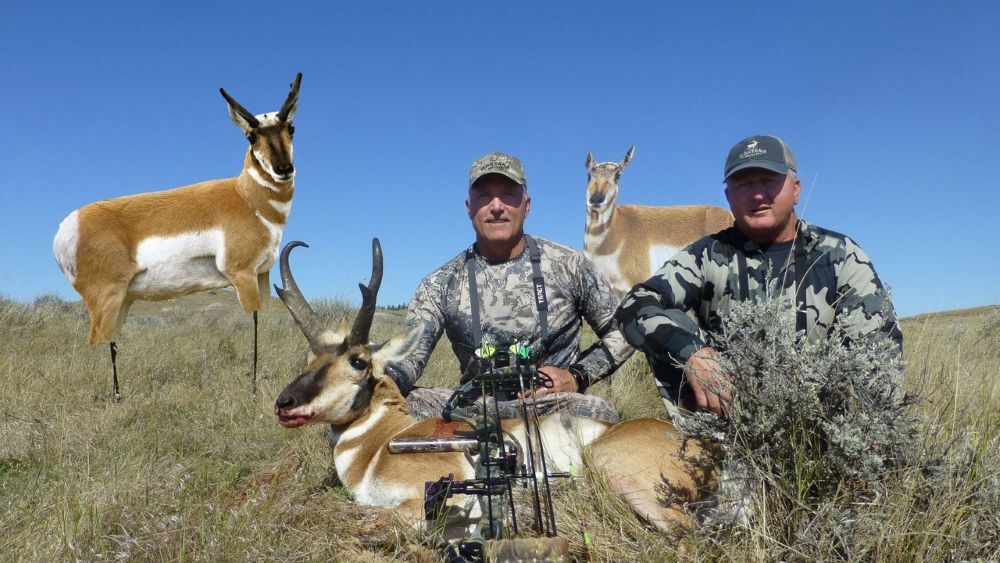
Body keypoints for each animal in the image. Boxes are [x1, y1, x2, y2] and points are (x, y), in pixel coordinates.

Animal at [53, 73, 302, 400]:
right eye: (251, 136)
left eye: (291, 127)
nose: (283, 169)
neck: (245, 197)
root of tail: (67, 227)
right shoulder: (242, 274)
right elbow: (254, 323)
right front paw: (252, 390)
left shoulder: (262, 274)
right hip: (106, 298)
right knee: (97, 340)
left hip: (124, 300)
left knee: (112, 341)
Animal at [272, 240, 717, 546]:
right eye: (311, 357)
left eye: (359, 361)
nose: (284, 404)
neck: (381, 442)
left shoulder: (434, 494)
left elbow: (387, 520)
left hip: (612, 468)